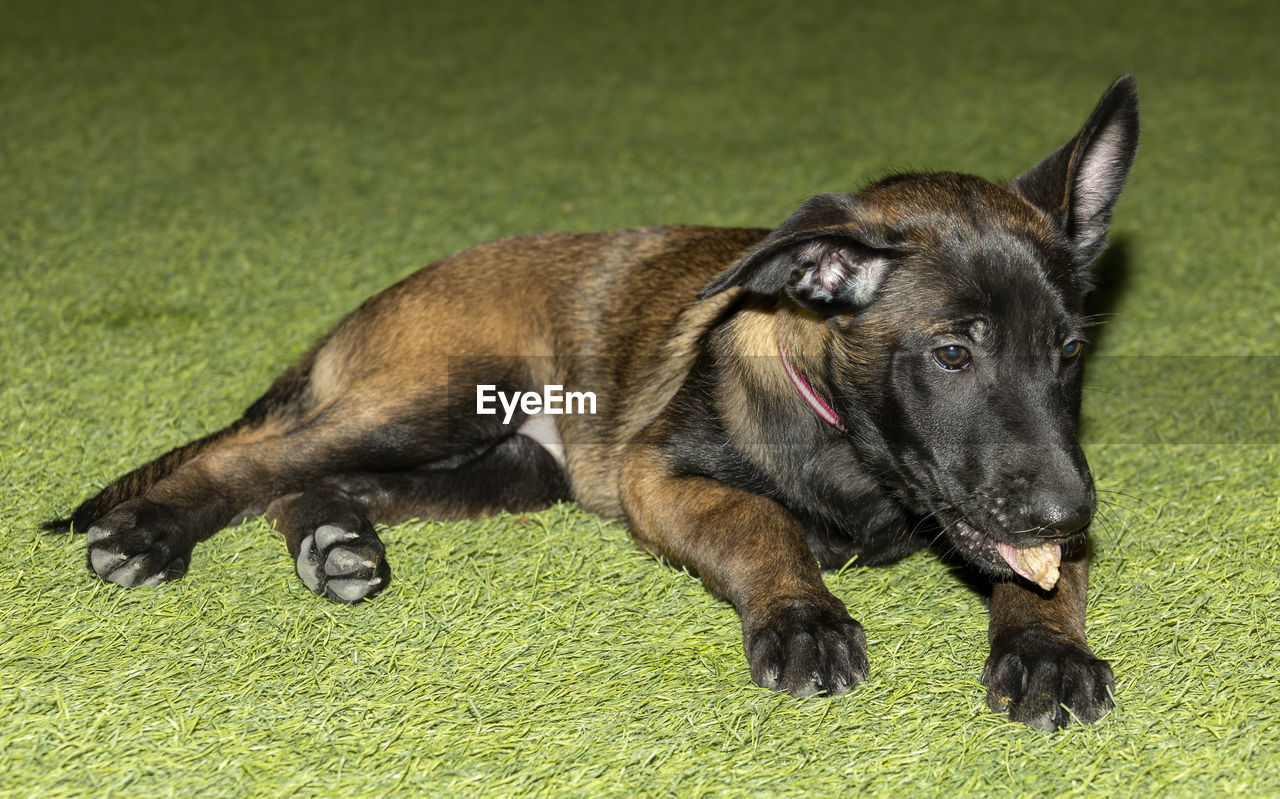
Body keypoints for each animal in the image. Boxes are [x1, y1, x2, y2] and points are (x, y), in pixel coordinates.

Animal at [47, 76, 1141, 732]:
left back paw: (334, 541)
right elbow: (760, 524)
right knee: (251, 458)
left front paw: (1046, 650)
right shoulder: (660, 475)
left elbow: (1044, 582)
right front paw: (803, 617)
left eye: (1068, 352)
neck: (849, 453)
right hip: (439, 402)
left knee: (309, 480)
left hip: (506, 467)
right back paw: (146, 530)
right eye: (952, 353)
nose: (1068, 508)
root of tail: (381, 298)